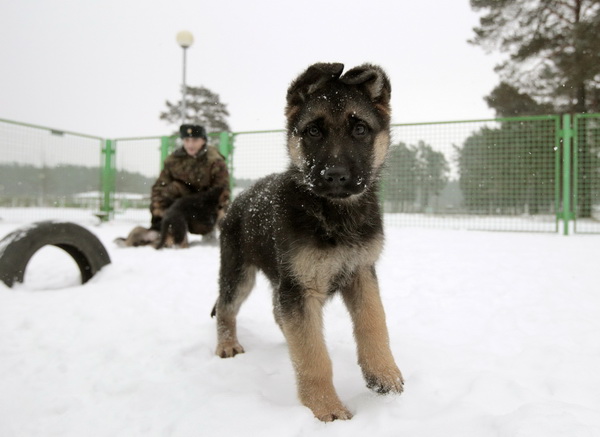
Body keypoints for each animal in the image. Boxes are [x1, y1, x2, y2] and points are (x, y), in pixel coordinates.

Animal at [211, 63, 404, 420]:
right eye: (313, 132)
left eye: (360, 129)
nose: (336, 175)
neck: (334, 213)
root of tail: (240, 198)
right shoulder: (300, 290)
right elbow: (313, 355)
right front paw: (325, 407)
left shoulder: (362, 272)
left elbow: (374, 322)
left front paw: (383, 373)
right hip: (239, 273)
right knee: (227, 307)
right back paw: (227, 344)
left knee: (275, 313)